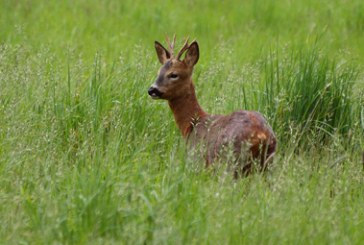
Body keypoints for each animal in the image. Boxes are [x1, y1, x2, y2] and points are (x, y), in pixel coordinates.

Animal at [148, 35, 276, 175]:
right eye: (158, 72)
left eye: (174, 74)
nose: (152, 90)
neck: (191, 124)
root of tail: (262, 135)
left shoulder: (195, 159)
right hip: (267, 163)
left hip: (231, 161)